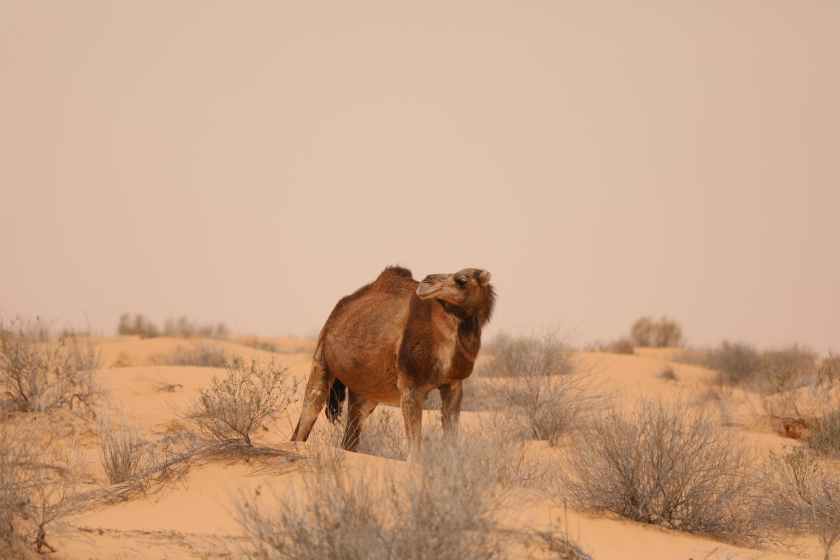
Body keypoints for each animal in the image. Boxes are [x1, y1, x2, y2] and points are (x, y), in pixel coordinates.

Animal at [291, 266, 495, 460]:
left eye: (462, 280)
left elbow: (451, 434)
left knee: (352, 430)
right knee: (311, 406)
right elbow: (414, 448)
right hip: (322, 357)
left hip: (365, 391)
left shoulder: (453, 383)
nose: (426, 282)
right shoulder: (411, 386)